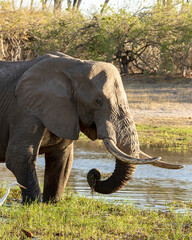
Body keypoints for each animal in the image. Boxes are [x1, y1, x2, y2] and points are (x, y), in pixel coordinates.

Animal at [0, 52, 183, 202]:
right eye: (98, 101)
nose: (96, 174)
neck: (75, 65)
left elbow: (62, 160)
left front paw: (51, 204)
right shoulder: (25, 112)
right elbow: (19, 157)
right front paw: (34, 205)